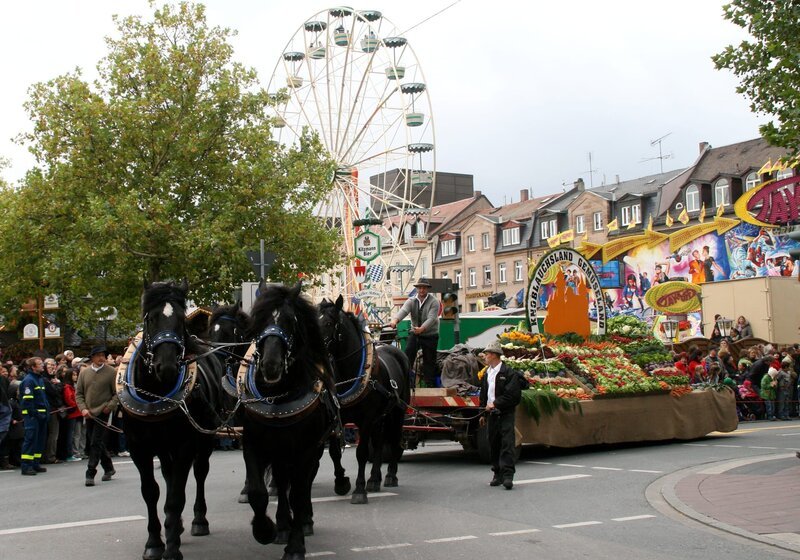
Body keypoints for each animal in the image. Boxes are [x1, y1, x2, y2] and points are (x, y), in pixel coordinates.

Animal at [119, 282, 225, 560]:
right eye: (151, 319)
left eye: (181, 320)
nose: (166, 367)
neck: (156, 392)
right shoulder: (139, 447)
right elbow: (151, 491)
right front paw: (155, 542)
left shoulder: (184, 445)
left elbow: (177, 495)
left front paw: (172, 547)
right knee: (167, 475)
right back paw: (173, 524)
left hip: (205, 438)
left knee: (199, 473)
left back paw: (197, 520)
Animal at [239, 284, 336, 560]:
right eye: (259, 320)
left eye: (291, 321)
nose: (271, 365)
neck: (278, 396)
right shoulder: (253, 444)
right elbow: (258, 492)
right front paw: (265, 530)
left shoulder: (306, 450)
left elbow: (299, 494)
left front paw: (295, 546)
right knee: (282, 483)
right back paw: (282, 525)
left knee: (299, 487)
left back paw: (303, 522)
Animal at [318, 296, 410, 506]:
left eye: (327, 323)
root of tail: (394, 348)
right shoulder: (336, 417)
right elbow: (335, 451)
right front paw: (341, 483)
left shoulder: (366, 419)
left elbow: (361, 453)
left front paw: (359, 490)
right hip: (380, 417)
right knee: (379, 443)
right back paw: (374, 479)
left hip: (398, 411)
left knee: (393, 439)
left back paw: (390, 475)